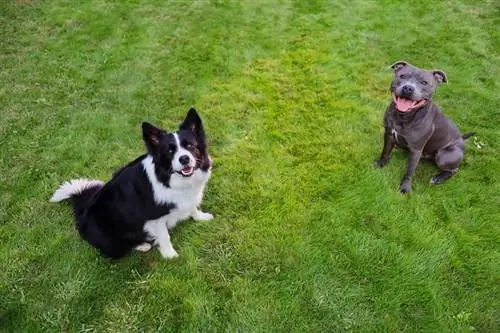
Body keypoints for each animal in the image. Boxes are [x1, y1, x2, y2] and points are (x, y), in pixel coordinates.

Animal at [50, 107, 213, 258]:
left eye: (190, 145)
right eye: (170, 151)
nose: (184, 159)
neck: (169, 179)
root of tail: (82, 213)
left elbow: (193, 207)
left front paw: (201, 217)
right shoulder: (154, 216)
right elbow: (164, 235)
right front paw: (170, 255)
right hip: (112, 242)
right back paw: (142, 245)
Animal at [376, 59, 472, 192]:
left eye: (424, 82)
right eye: (402, 76)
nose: (408, 88)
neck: (403, 116)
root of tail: (461, 139)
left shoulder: (416, 149)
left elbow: (410, 171)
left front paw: (405, 187)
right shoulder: (389, 134)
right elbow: (385, 151)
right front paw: (381, 163)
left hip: (443, 156)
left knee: (454, 169)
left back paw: (438, 178)